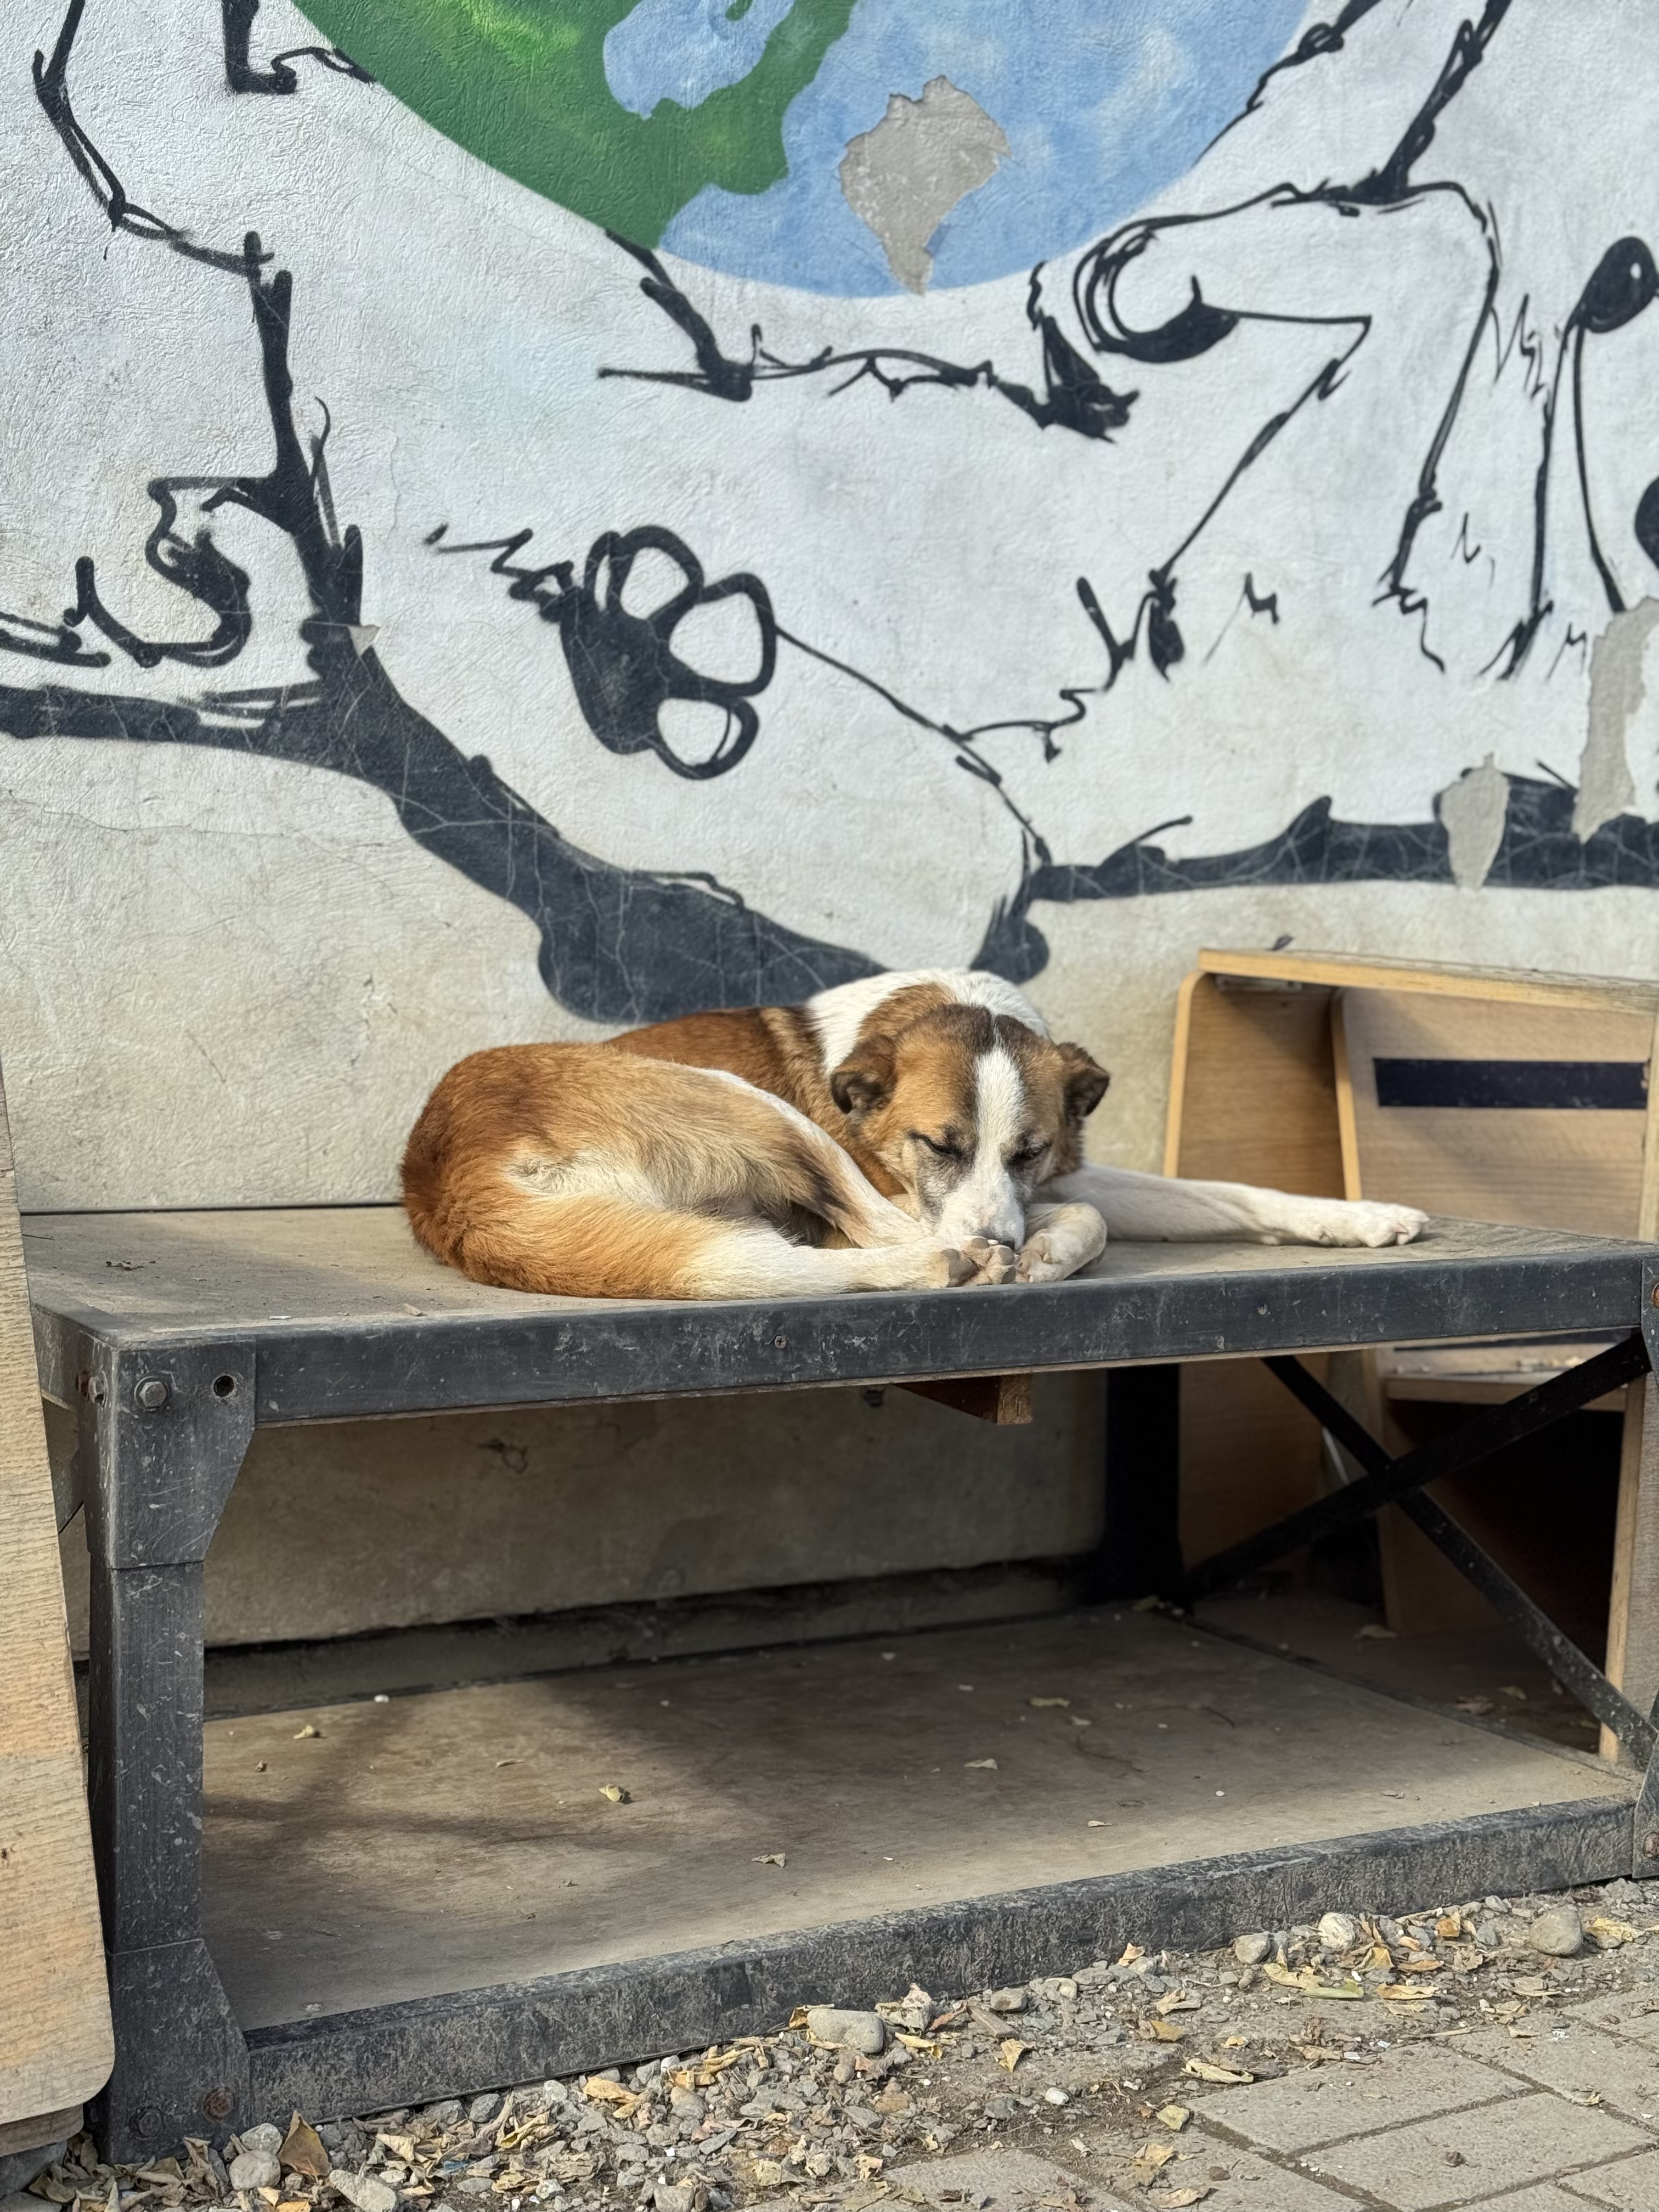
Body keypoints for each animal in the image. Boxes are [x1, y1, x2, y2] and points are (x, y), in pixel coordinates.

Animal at [402, 969, 1427, 1299]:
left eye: (1027, 1149)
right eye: (939, 1144)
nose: (1000, 1235)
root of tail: (442, 1176)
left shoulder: (1054, 1177)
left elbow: (1227, 1195)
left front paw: (1361, 1216)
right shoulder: (930, 1188)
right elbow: (1078, 1221)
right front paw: (1046, 1251)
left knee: (785, 1263)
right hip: (745, 1103)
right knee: (856, 1239)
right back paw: (953, 1260)